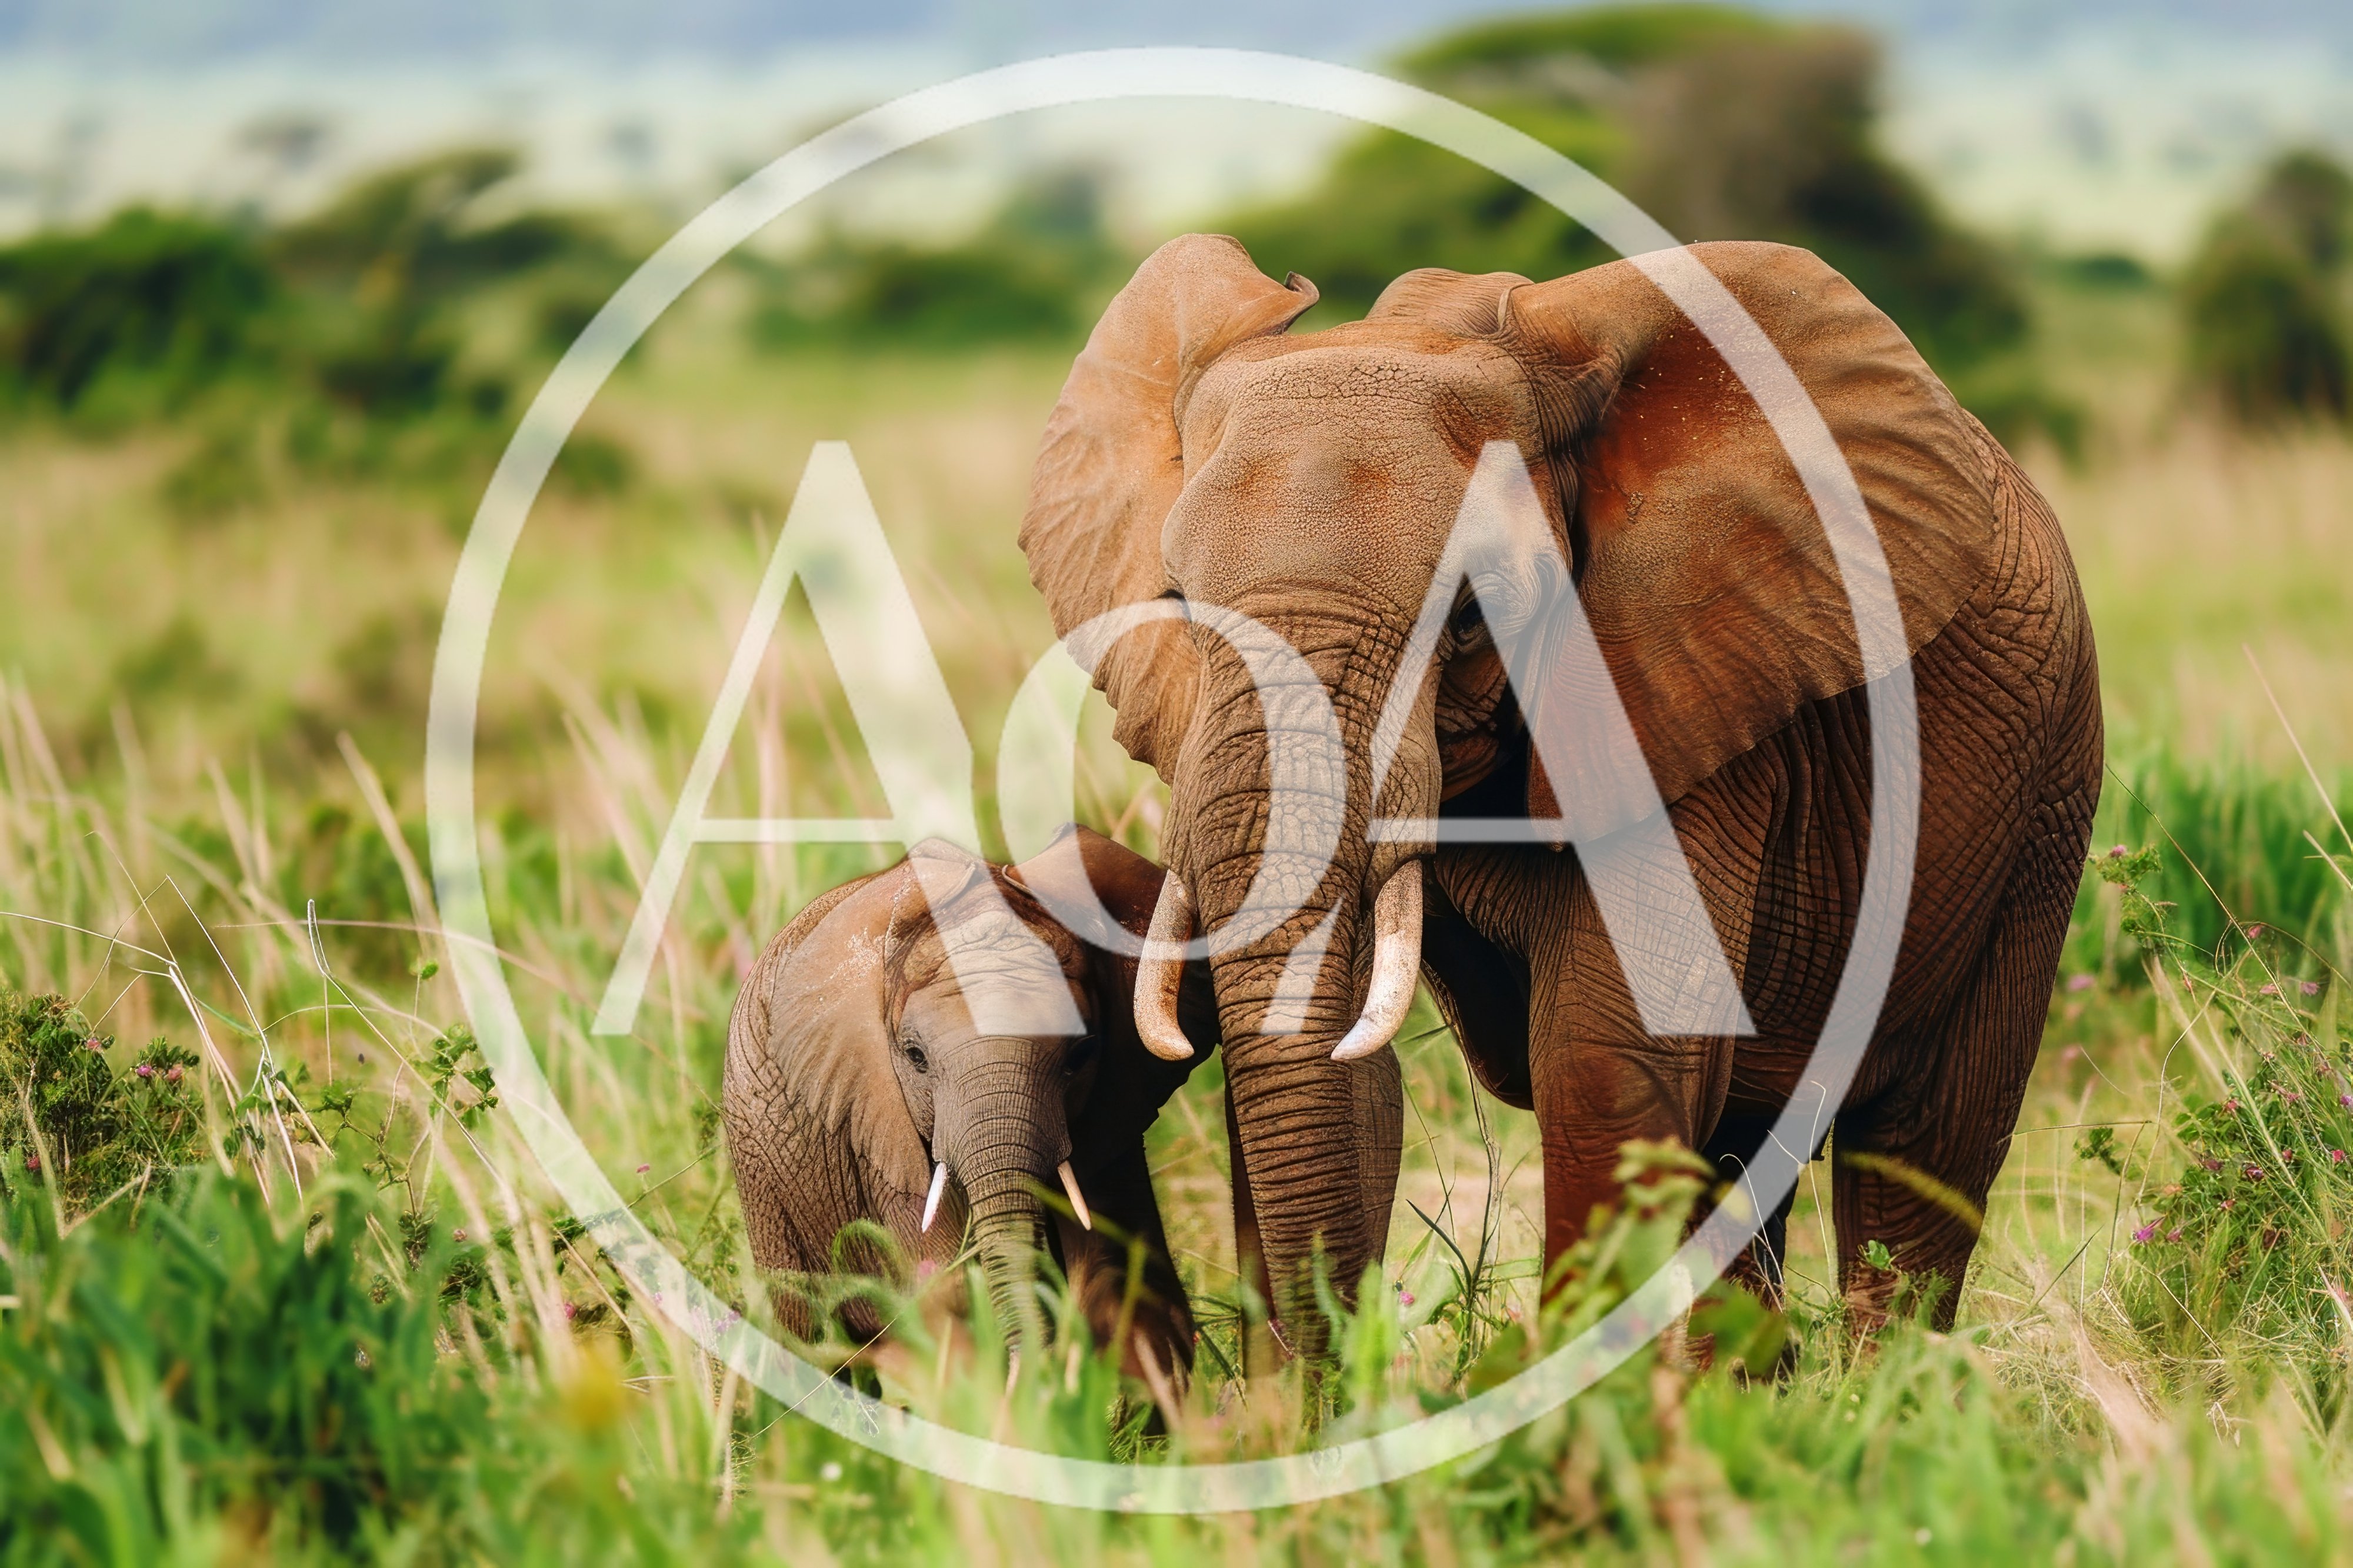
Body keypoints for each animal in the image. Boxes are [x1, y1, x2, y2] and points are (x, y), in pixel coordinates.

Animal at [1018, 234, 2101, 1343]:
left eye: (1467, 618)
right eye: (1179, 607)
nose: (1326, 1376)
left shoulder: (1695, 683)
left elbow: (1608, 1056)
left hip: (2045, 799)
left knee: (1926, 1142)